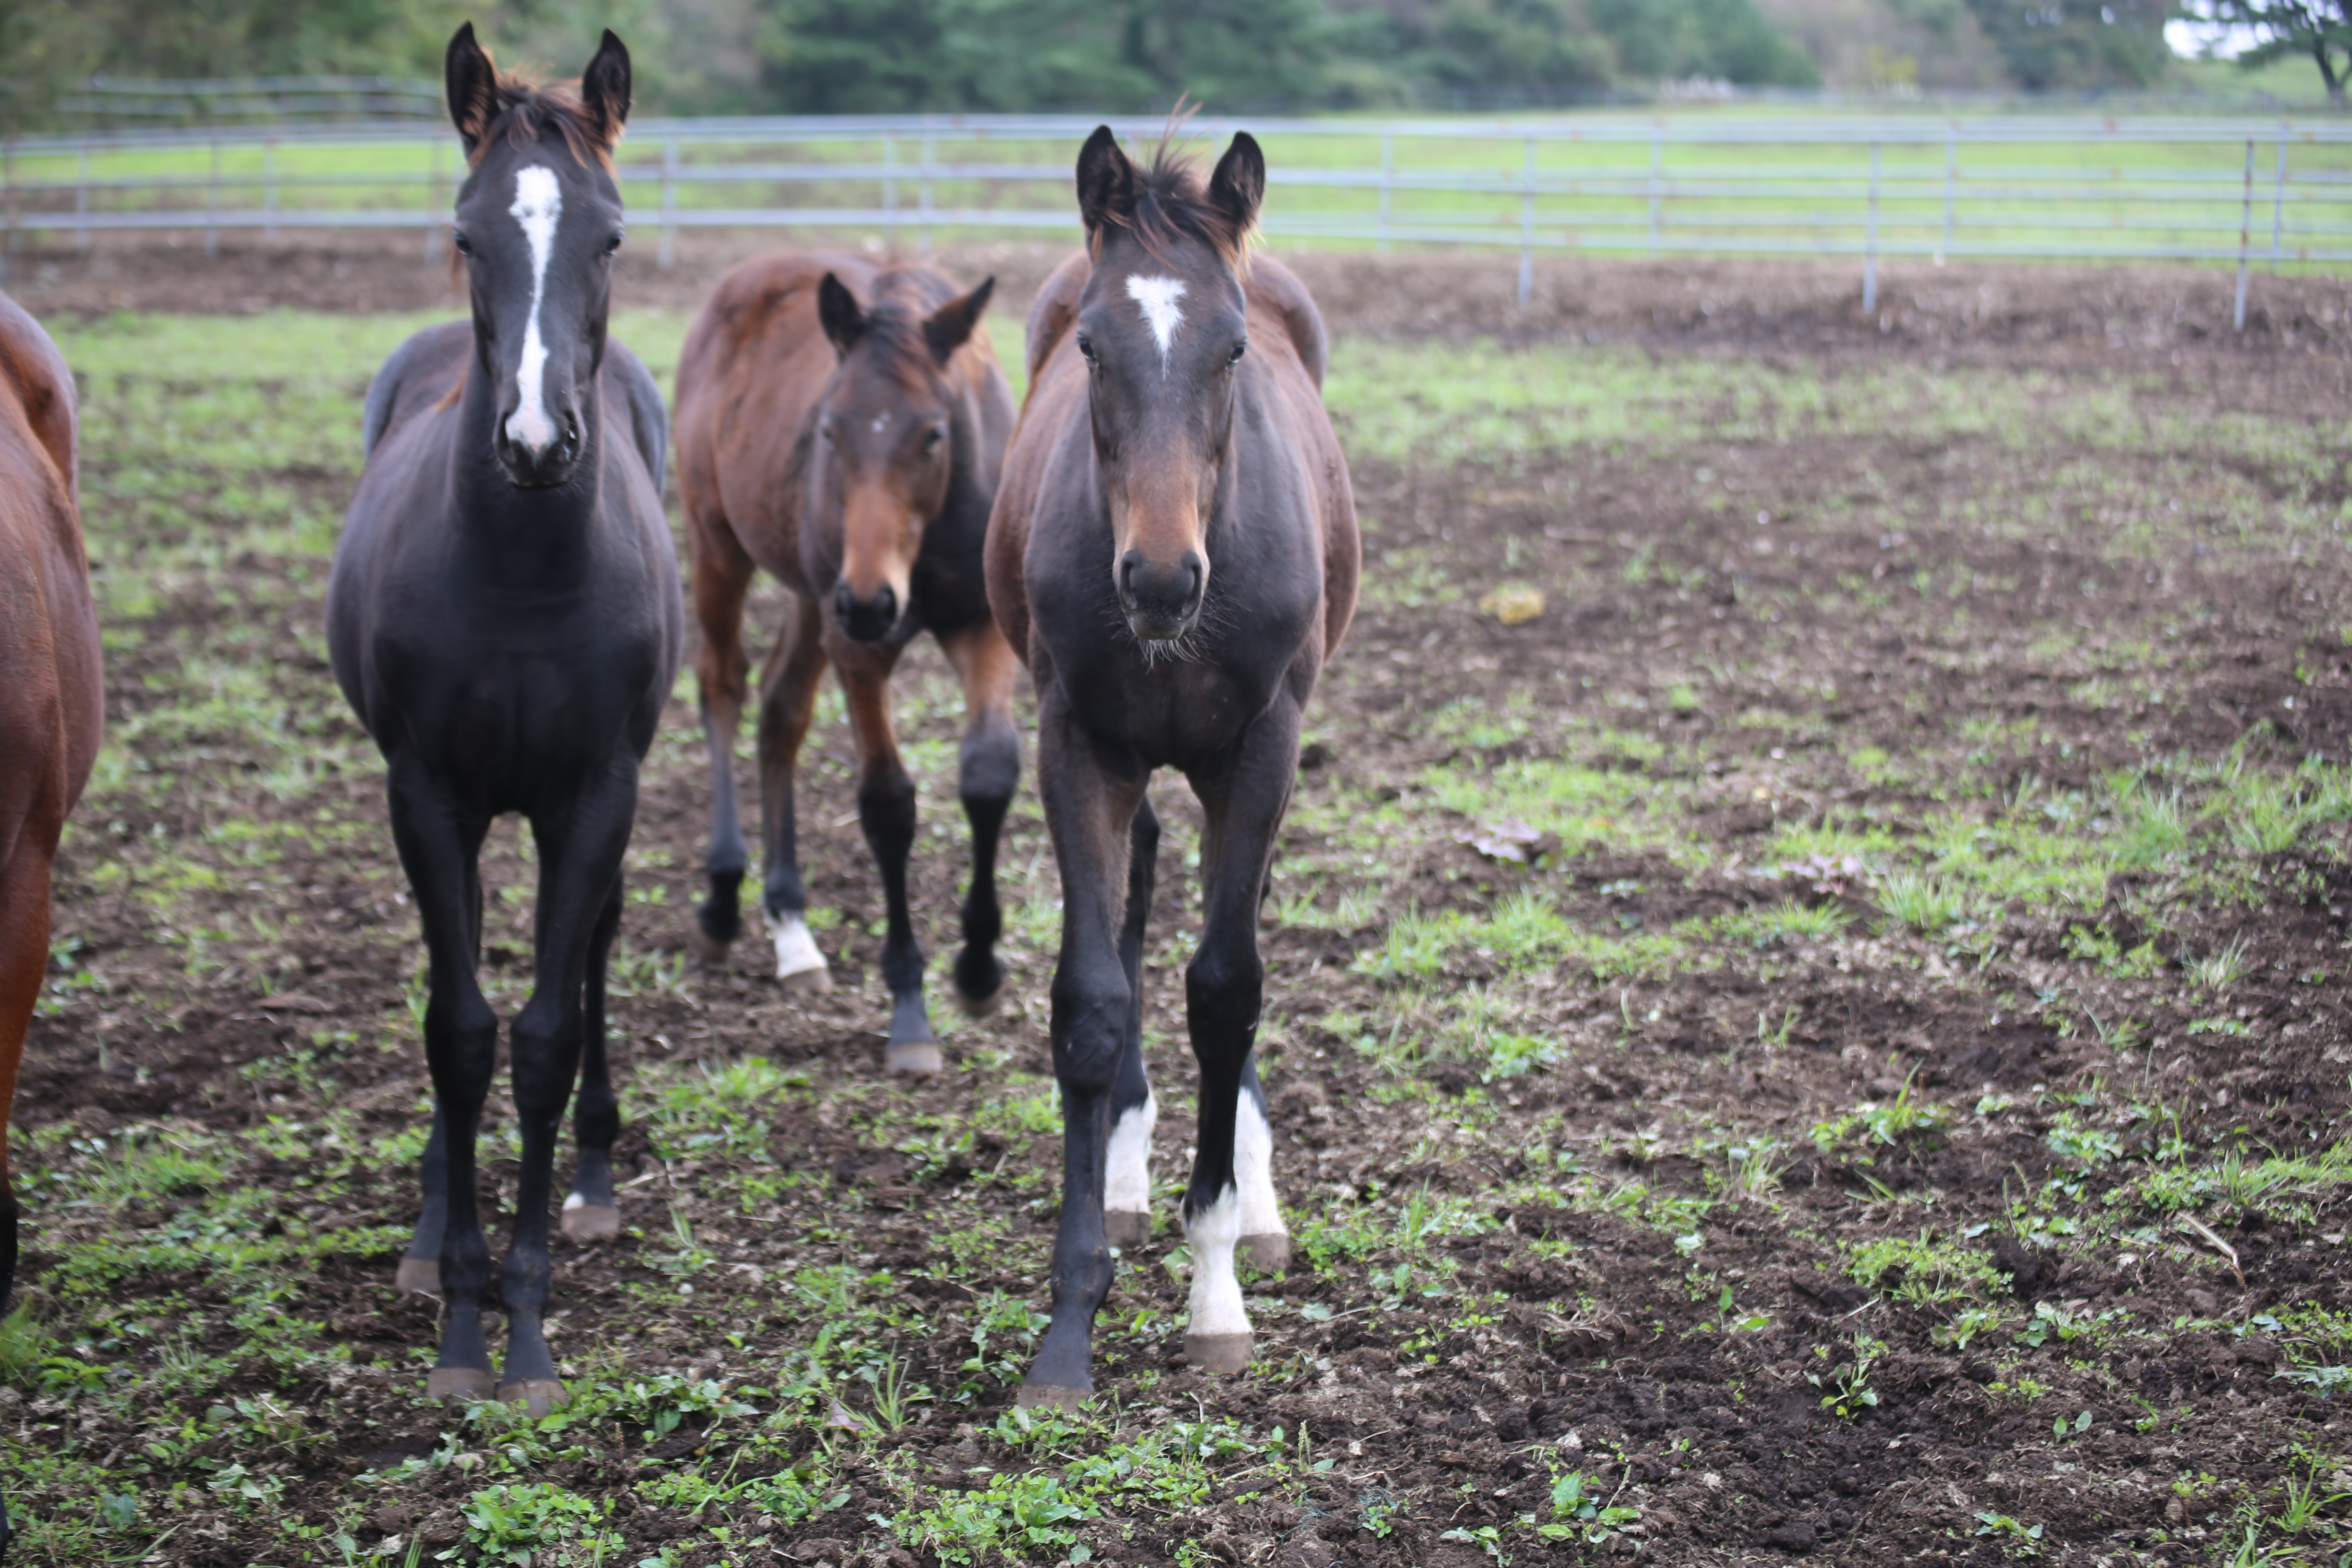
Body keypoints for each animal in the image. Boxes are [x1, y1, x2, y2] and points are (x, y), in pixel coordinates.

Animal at [317, 24, 682, 1420]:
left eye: (611, 236)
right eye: (470, 235)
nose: (534, 442)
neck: (523, 567)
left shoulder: (595, 795)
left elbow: (543, 1033)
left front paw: (525, 1326)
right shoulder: (428, 791)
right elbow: (459, 1031)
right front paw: (464, 1316)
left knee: (589, 959)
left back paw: (593, 1178)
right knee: (459, 966)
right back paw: (430, 1228)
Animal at [673, 255, 1020, 1081]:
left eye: (934, 433)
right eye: (829, 429)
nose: (871, 600)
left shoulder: (981, 627)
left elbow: (989, 773)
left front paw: (979, 970)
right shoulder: (858, 648)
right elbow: (887, 804)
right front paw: (911, 1013)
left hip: (809, 594)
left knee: (781, 712)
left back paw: (792, 926)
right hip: (724, 550)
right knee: (723, 687)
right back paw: (724, 902)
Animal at [983, 135, 1364, 1401]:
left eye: (1234, 347)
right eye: (1091, 347)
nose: (1158, 579)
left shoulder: (1260, 748)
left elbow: (1226, 987)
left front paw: (1216, 1288)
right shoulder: (1077, 744)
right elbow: (1093, 1000)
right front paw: (1069, 1323)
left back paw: (1252, 1194)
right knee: (1143, 892)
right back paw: (1126, 1168)